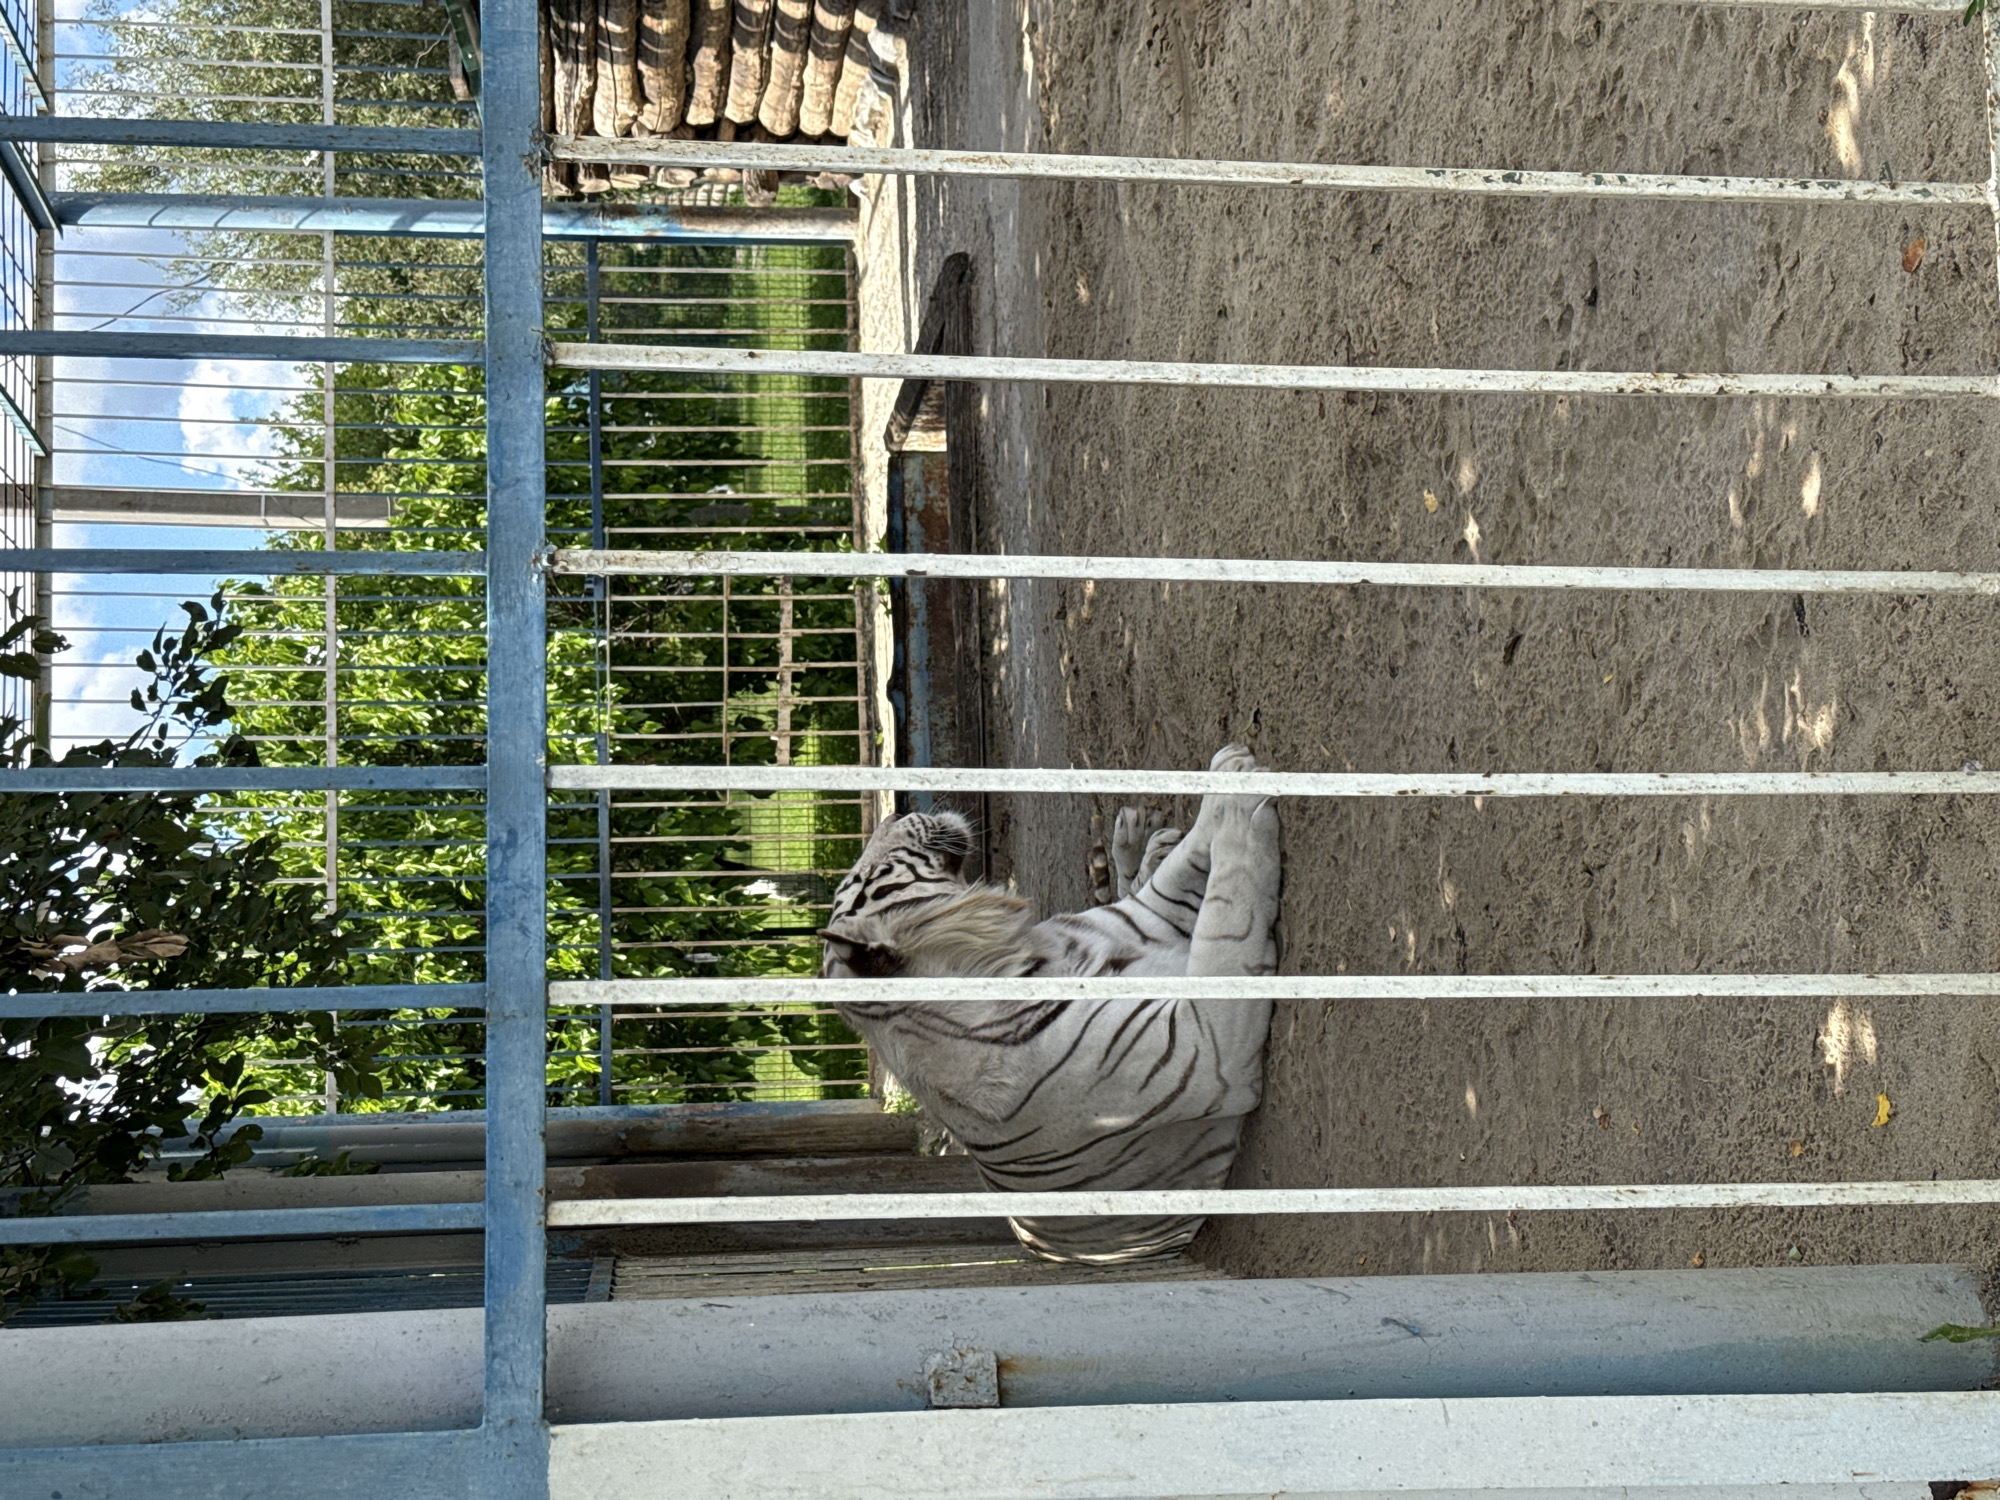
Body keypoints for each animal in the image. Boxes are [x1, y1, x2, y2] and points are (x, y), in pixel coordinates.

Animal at [817, 745, 1282, 1264]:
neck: (1022, 959)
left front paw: (1224, 780)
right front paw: (1241, 805)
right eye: (864, 874)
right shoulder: (1205, 1053)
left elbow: (1175, 875)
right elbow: (1229, 911)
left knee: (1142, 878)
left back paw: (1138, 837)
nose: (893, 812)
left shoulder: (1140, 920)